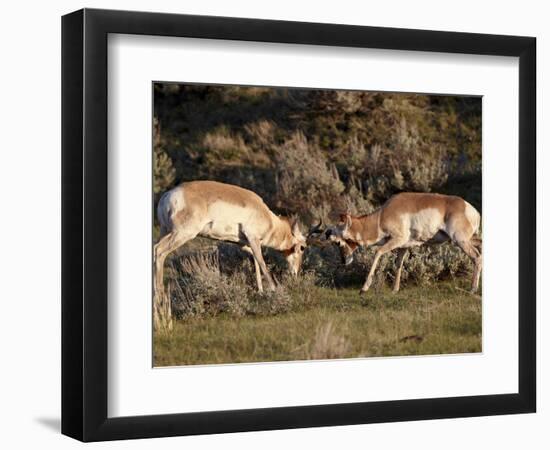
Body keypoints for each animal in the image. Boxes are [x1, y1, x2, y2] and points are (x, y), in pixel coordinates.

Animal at [155, 179, 308, 298]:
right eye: (302, 248)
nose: (296, 273)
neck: (269, 218)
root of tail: (168, 195)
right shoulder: (253, 238)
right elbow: (262, 263)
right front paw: (274, 289)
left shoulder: (245, 244)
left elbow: (256, 261)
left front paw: (260, 291)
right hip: (182, 234)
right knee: (159, 251)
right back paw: (159, 296)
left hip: (166, 231)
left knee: (155, 248)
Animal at [310, 192, 484, 294]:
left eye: (338, 242)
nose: (344, 261)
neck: (381, 216)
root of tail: (471, 209)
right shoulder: (403, 247)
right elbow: (398, 264)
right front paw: (395, 290)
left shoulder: (397, 240)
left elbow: (378, 252)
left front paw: (364, 288)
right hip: (468, 239)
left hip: (459, 240)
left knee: (477, 256)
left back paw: (472, 289)